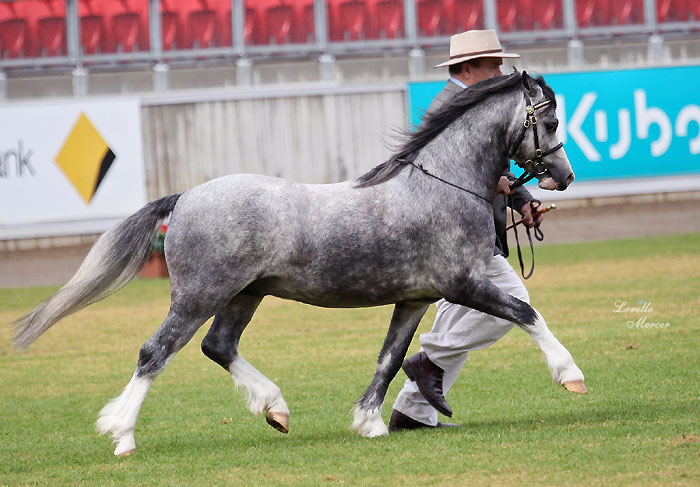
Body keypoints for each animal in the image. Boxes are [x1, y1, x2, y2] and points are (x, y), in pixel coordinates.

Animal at [14, 71, 584, 456]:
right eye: (551, 119)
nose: (564, 175)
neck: (441, 186)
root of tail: (185, 198)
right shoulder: (463, 284)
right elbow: (526, 313)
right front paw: (570, 375)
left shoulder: (414, 299)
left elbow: (390, 357)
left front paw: (370, 422)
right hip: (199, 296)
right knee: (155, 352)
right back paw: (123, 435)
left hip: (244, 295)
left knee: (218, 346)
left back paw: (275, 407)